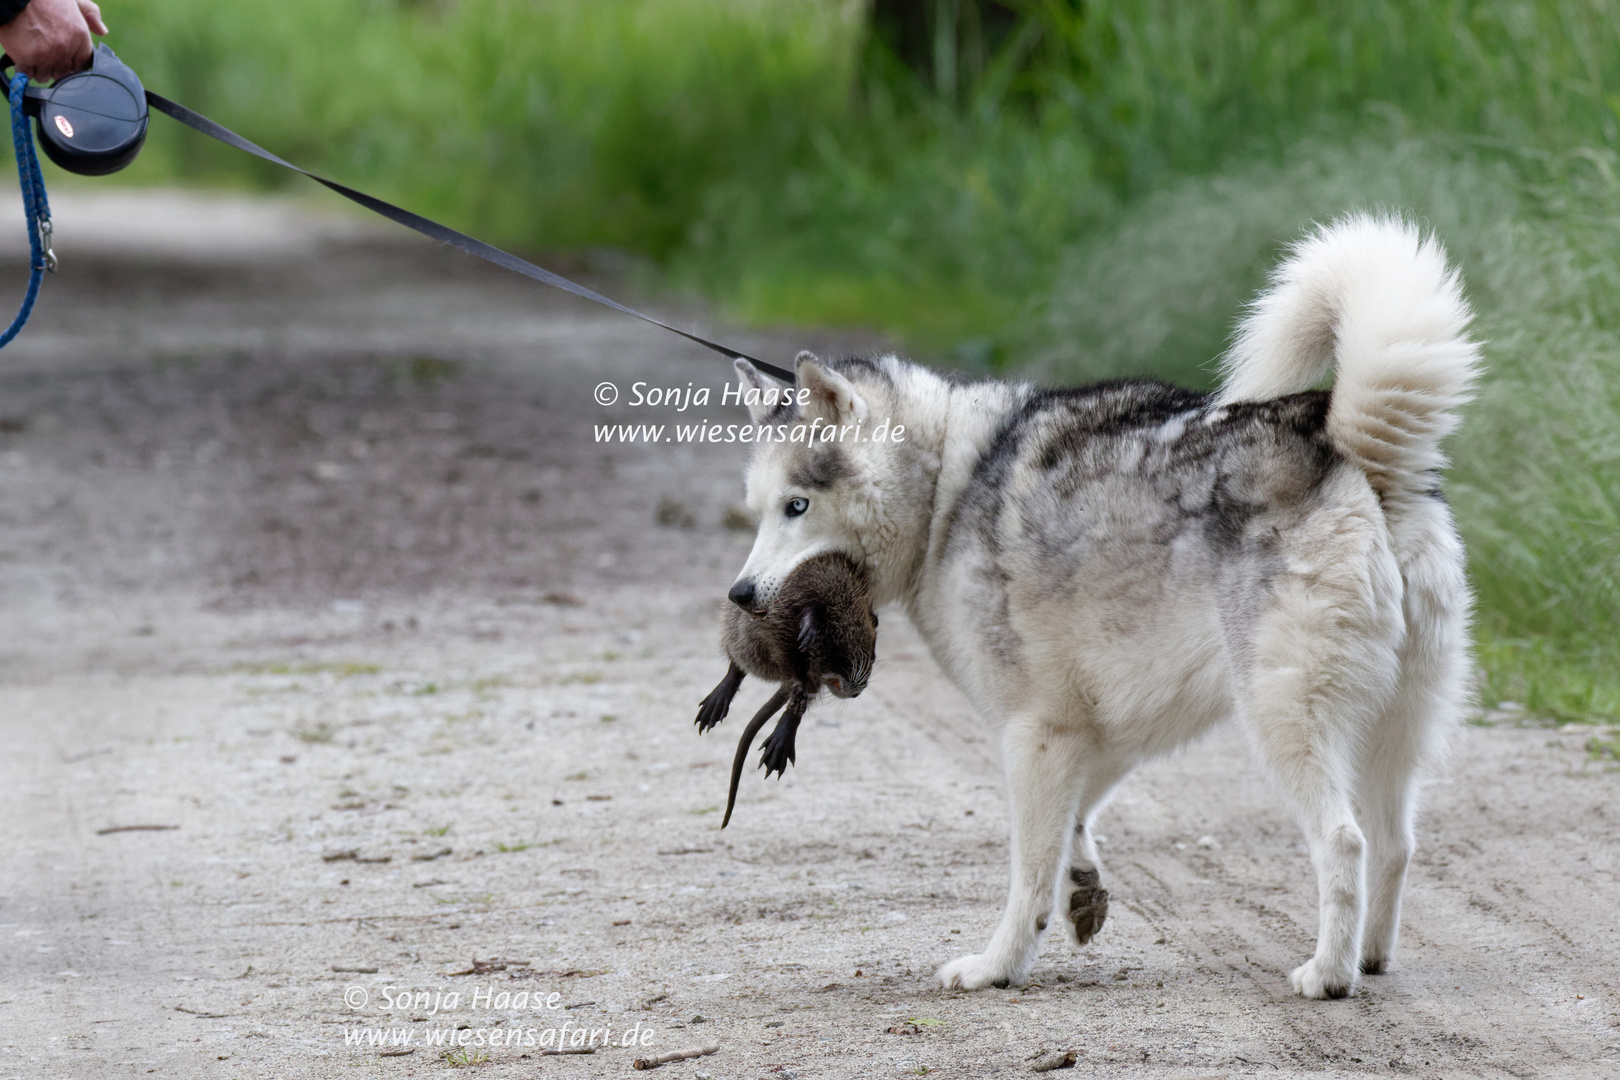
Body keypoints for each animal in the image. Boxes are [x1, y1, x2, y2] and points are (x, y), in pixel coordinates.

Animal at [729, 215, 1477, 1003]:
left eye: (797, 506)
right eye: (758, 510)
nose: (740, 596)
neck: (945, 490)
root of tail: (1344, 443)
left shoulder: (1035, 733)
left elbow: (1029, 872)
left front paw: (998, 965)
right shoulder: (1105, 725)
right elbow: (1074, 827)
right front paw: (1082, 888)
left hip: (1286, 722)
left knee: (1344, 841)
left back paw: (1329, 973)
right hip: (1391, 733)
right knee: (1394, 844)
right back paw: (1370, 957)